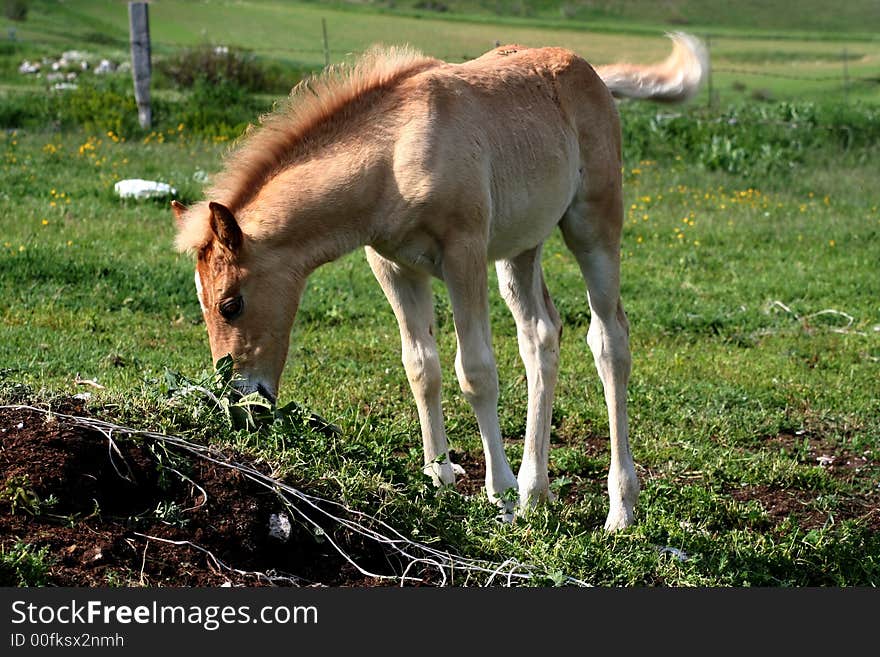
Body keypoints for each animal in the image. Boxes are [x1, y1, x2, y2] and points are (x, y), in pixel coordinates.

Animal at [172, 33, 708, 532]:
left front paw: (501, 497)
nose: (240, 399)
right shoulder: (392, 266)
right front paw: (440, 480)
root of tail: (589, 71)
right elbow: (420, 367)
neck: (392, 154)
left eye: (231, 305)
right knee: (540, 336)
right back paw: (536, 492)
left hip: (592, 225)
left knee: (609, 339)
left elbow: (475, 372)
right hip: (518, 247)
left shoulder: (462, 254)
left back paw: (619, 508)